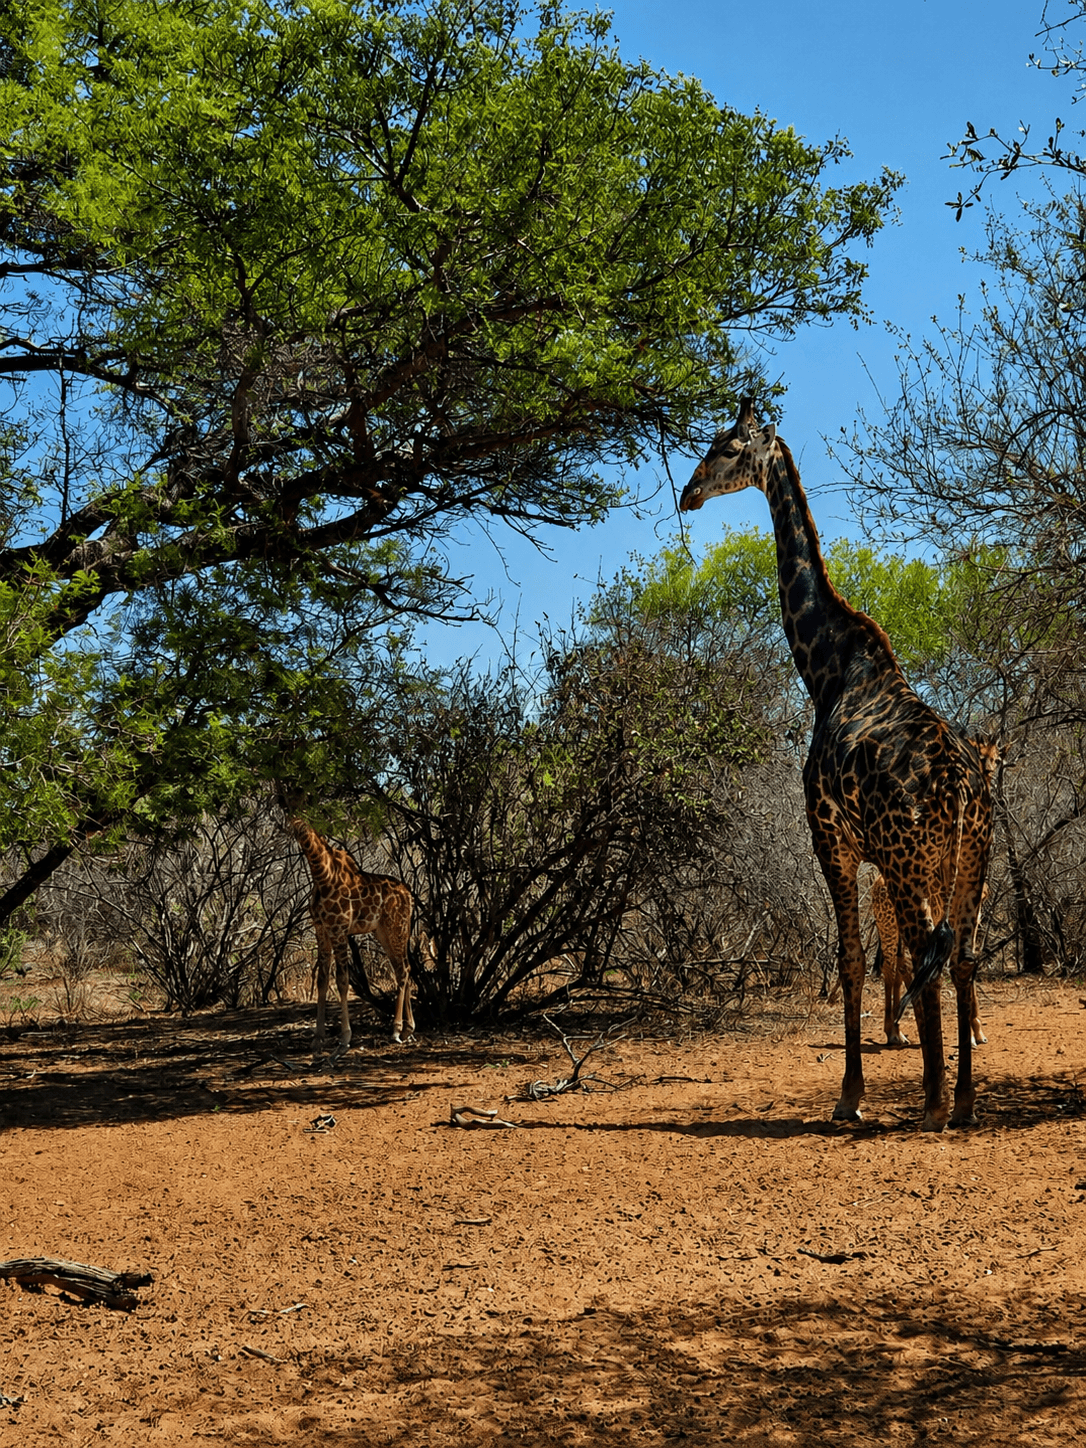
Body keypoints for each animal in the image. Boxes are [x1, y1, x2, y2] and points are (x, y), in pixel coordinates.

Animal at [281, 800, 415, 1049]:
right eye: (286, 805)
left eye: (301, 807)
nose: (299, 828)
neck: (321, 873)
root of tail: (409, 895)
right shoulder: (321, 929)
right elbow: (322, 981)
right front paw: (318, 1037)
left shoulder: (339, 928)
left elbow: (342, 981)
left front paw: (345, 1036)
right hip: (383, 931)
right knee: (403, 967)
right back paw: (408, 1029)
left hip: (397, 926)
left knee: (403, 970)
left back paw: (396, 1030)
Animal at [680, 399, 993, 1130]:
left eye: (727, 447)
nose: (688, 493)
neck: (824, 667)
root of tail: (963, 789)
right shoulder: (868, 852)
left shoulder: (832, 839)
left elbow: (851, 961)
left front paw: (849, 1095)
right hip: (970, 858)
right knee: (960, 957)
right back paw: (963, 1102)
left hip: (911, 861)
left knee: (927, 954)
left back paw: (933, 1105)